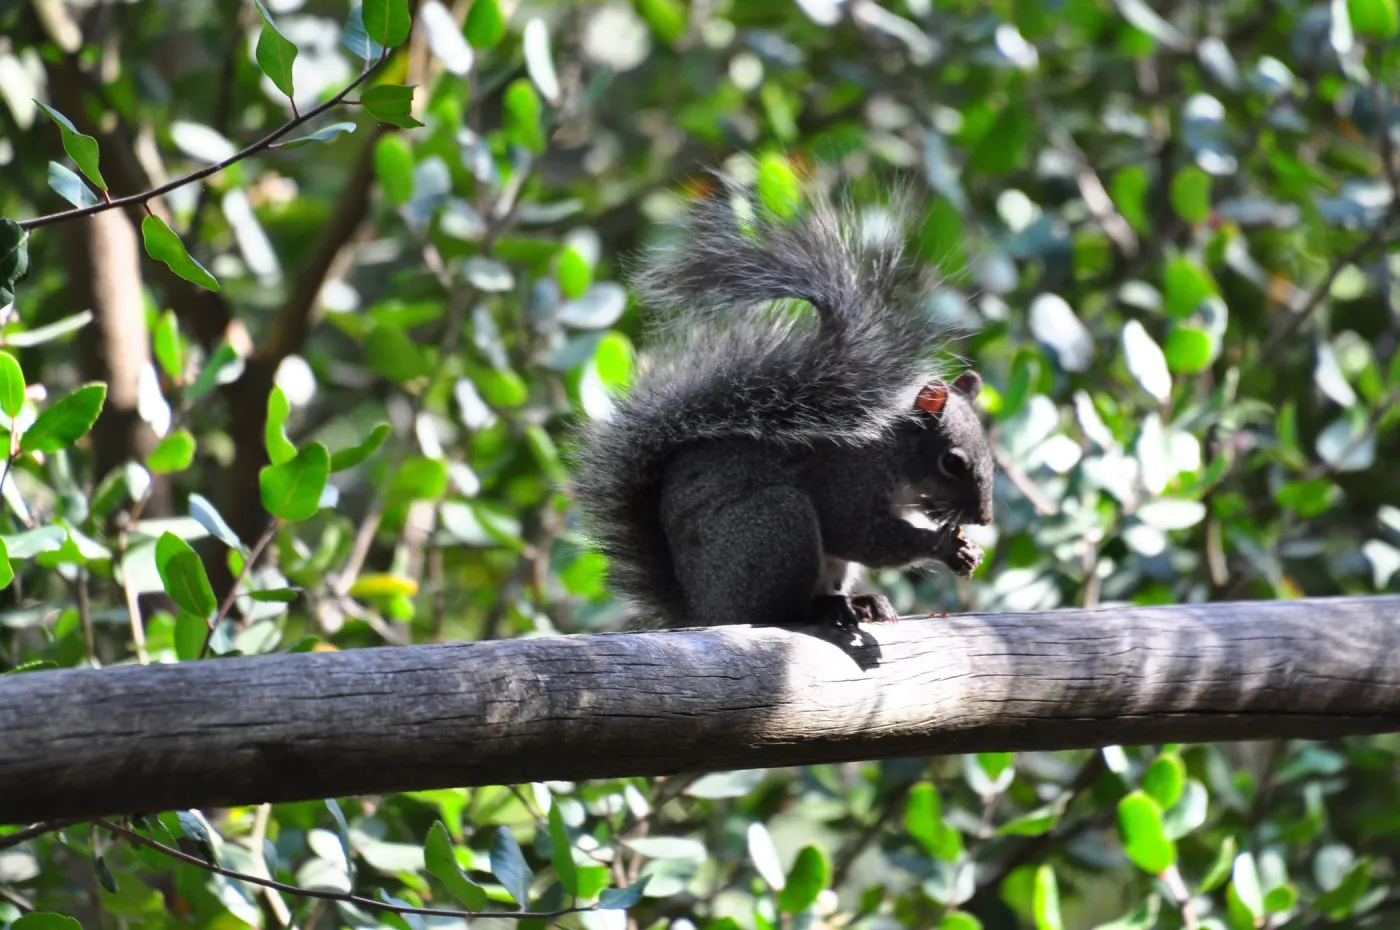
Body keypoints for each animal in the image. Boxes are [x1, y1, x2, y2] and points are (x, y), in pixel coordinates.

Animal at [571, 173, 996, 629]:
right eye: (952, 463)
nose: (985, 518)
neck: (894, 454)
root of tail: (703, 611)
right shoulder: (848, 482)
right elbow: (863, 535)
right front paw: (945, 548)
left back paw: (862, 603)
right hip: (776, 525)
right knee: (779, 609)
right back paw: (827, 608)